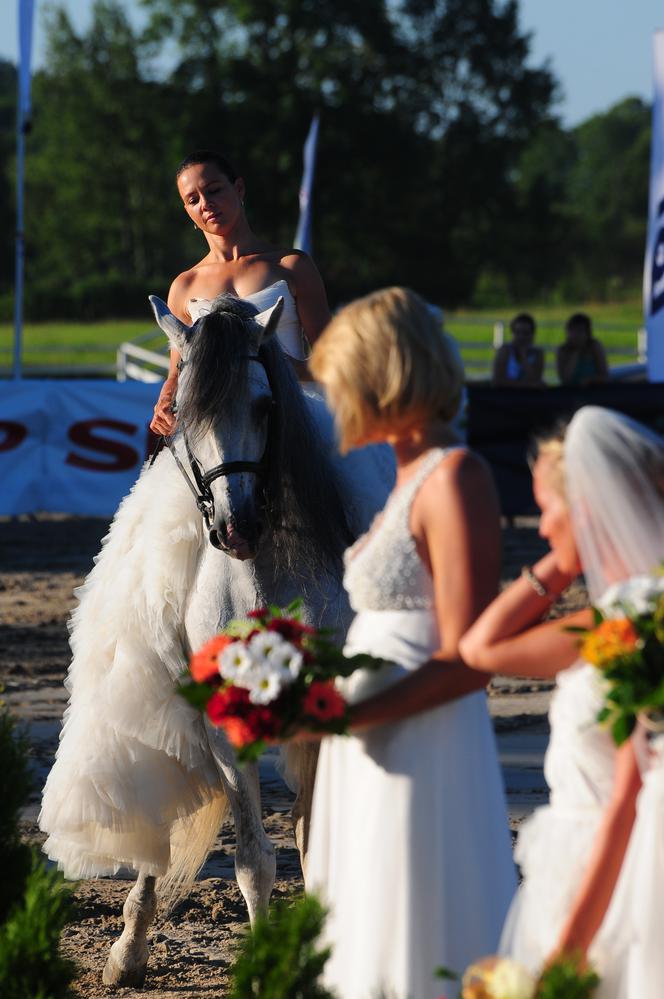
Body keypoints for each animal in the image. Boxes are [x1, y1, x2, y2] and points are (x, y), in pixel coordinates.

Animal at [40, 290, 394, 984]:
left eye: (264, 406)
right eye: (182, 412)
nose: (238, 527)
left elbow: (310, 845)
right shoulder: (227, 733)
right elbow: (255, 861)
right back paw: (127, 951)